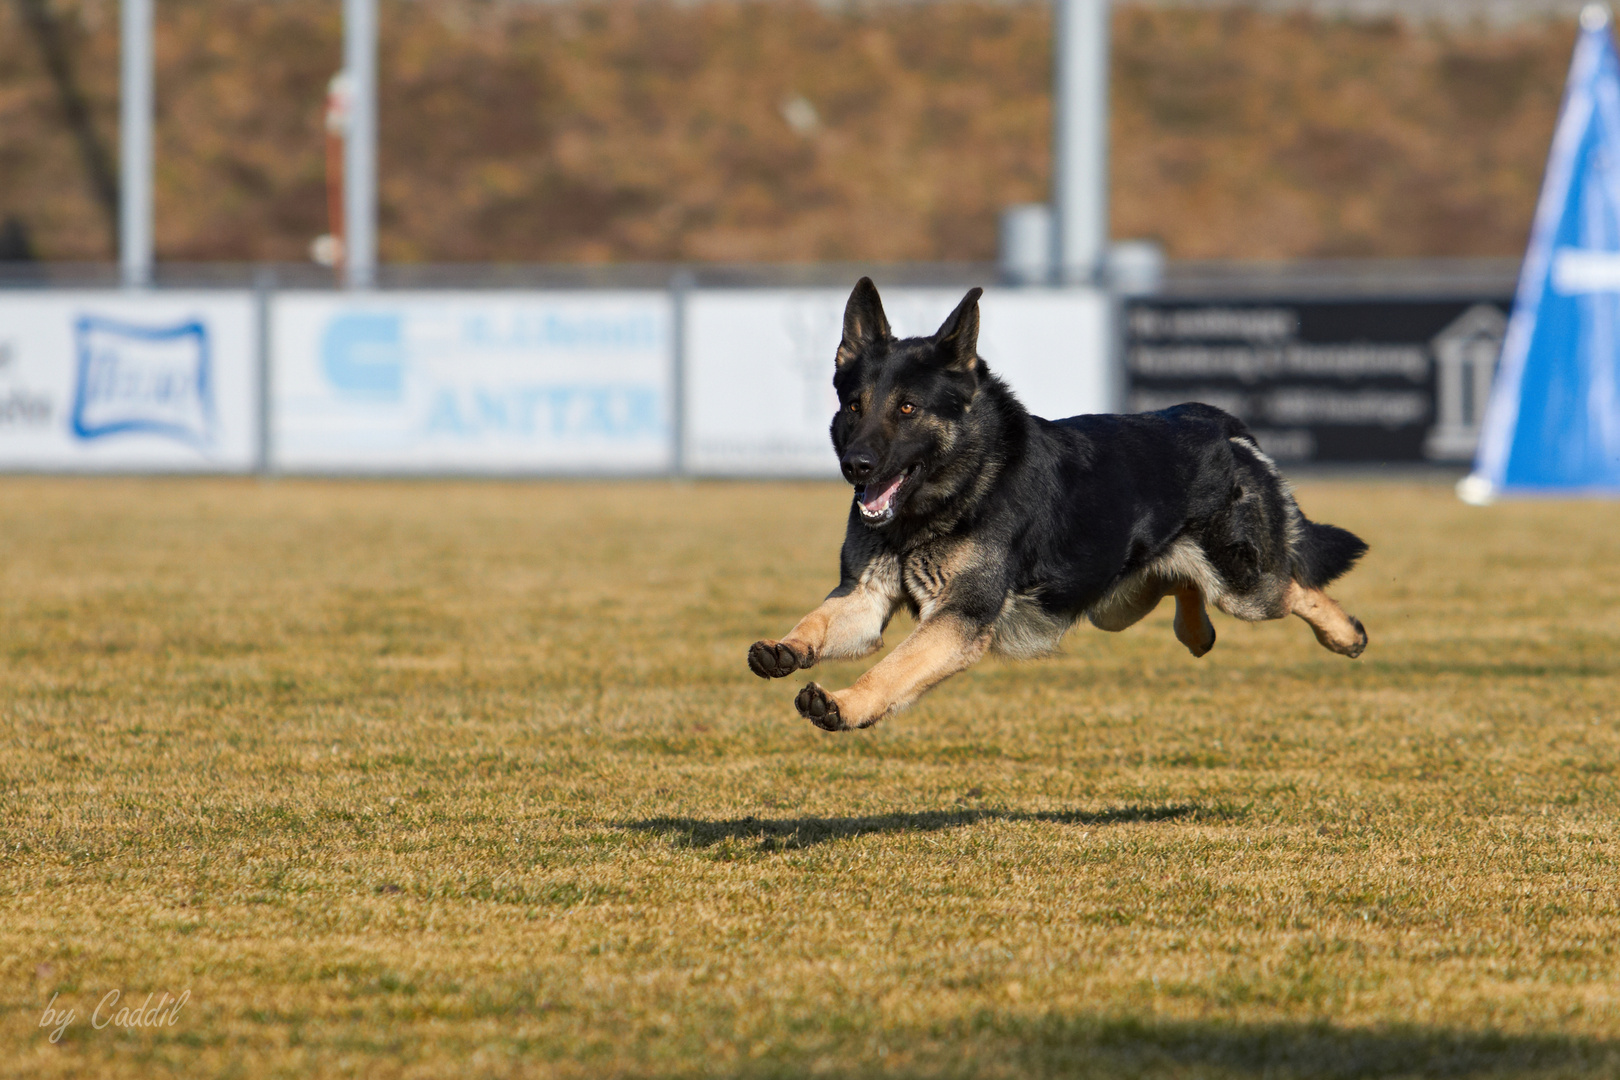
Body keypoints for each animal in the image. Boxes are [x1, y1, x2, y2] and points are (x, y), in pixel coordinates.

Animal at [745, 278, 1367, 735]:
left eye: (906, 409)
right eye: (855, 405)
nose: (857, 466)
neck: (959, 489)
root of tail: (1219, 423)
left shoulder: (958, 618)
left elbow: (892, 670)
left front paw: (846, 704)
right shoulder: (865, 598)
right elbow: (817, 620)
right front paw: (786, 648)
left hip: (1244, 589)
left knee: (1294, 587)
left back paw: (1346, 633)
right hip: (1117, 602)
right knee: (1182, 583)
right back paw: (1197, 632)